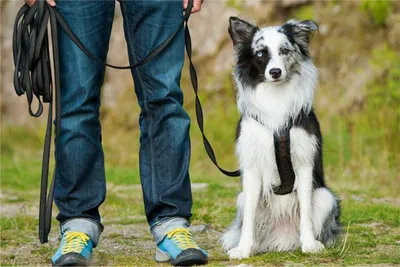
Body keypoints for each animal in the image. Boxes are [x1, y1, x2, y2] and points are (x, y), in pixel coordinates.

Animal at [219, 18, 340, 260]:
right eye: (260, 53)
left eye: (284, 50)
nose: (275, 72)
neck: (275, 96)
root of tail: (281, 239)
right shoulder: (252, 168)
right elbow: (249, 219)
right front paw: (243, 249)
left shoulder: (304, 164)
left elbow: (305, 211)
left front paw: (309, 245)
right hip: (241, 198)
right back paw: (254, 246)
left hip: (325, 196)